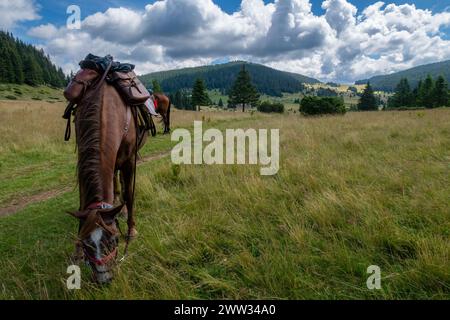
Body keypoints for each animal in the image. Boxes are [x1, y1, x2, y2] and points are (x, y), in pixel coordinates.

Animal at [63, 66, 143, 284]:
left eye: (114, 240)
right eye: (86, 243)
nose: (104, 280)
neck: (106, 109)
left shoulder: (128, 161)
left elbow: (129, 195)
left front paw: (131, 230)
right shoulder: (84, 159)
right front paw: (77, 252)